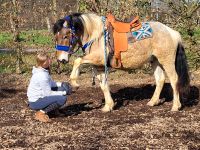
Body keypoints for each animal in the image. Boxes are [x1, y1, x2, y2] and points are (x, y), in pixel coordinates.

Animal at [52, 12, 190, 111]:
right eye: (56, 37)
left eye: (65, 36)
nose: (61, 59)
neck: (97, 36)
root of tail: (172, 32)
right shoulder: (99, 66)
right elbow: (103, 86)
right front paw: (108, 106)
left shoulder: (97, 58)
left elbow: (77, 61)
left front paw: (74, 82)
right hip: (155, 61)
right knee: (160, 80)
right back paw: (152, 102)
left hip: (166, 61)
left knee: (174, 79)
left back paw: (175, 106)